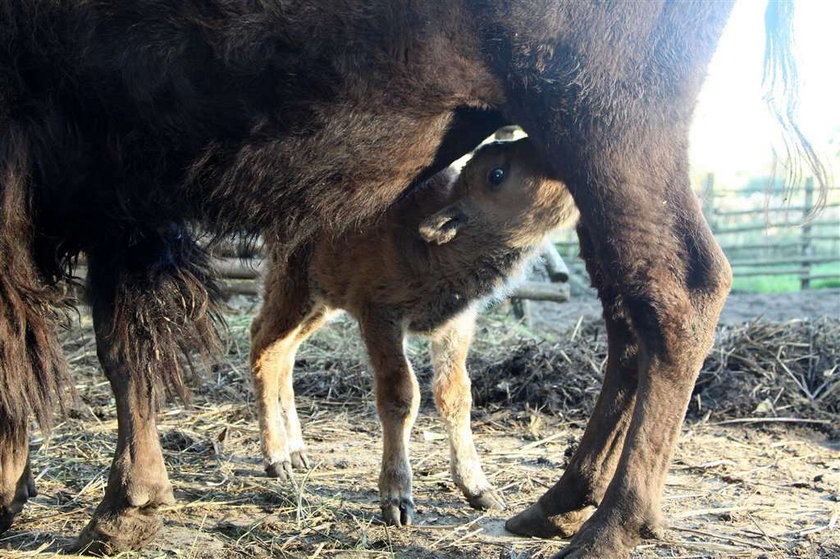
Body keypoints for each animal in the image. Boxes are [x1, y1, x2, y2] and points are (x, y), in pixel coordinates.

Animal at [253, 138, 576, 528]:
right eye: (497, 175)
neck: (429, 245)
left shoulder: (454, 327)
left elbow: (455, 396)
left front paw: (479, 489)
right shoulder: (381, 319)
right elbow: (401, 396)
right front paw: (397, 499)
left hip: (320, 304)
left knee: (285, 354)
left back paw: (297, 450)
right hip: (294, 289)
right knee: (265, 348)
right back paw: (277, 458)